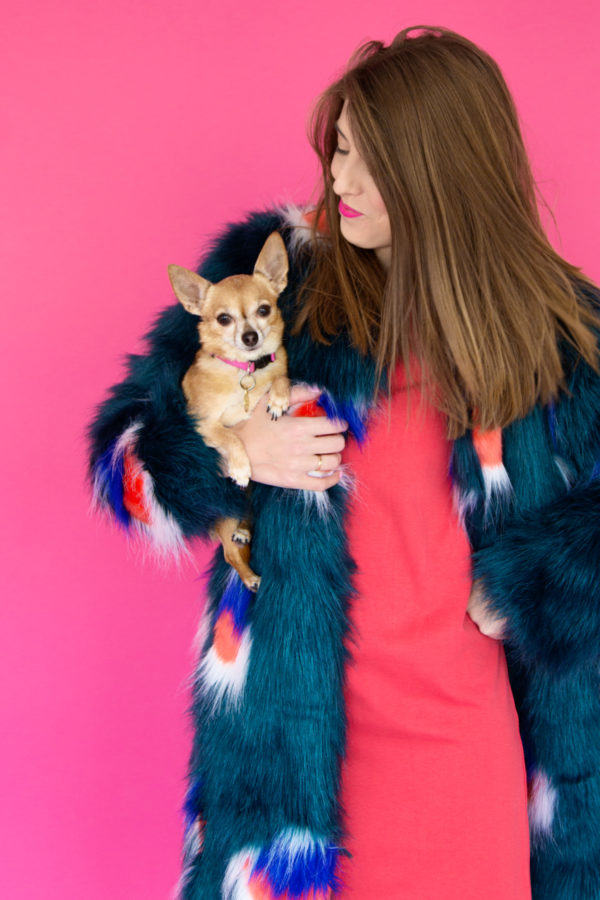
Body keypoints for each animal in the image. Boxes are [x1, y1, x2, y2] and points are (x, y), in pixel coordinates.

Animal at [169, 232, 290, 592]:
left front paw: (278, 398)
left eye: (264, 310)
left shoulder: (276, 369)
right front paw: (239, 466)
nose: (250, 337)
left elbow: (281, 377)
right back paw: (249, 577)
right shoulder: (204, 426)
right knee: (229, 553)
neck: (243, 370)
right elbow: (230, 436)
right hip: (226, 512)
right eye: (224, 318)